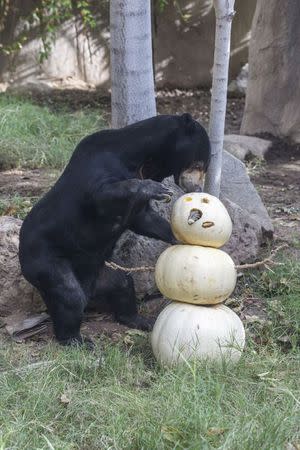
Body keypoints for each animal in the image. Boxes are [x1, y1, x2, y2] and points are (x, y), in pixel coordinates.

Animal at [18, 113, 211, 348]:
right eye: (200, 164)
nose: (197, 188)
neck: (141, 159)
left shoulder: (137, 206)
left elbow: (144, 219)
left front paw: (180, 237)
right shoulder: (99, 167)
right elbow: (101, 195)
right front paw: (157, 189)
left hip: (102, 272)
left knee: (123, 284)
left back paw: (140, 320)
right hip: (46, 260)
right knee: (69, 295)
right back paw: (77, 340)